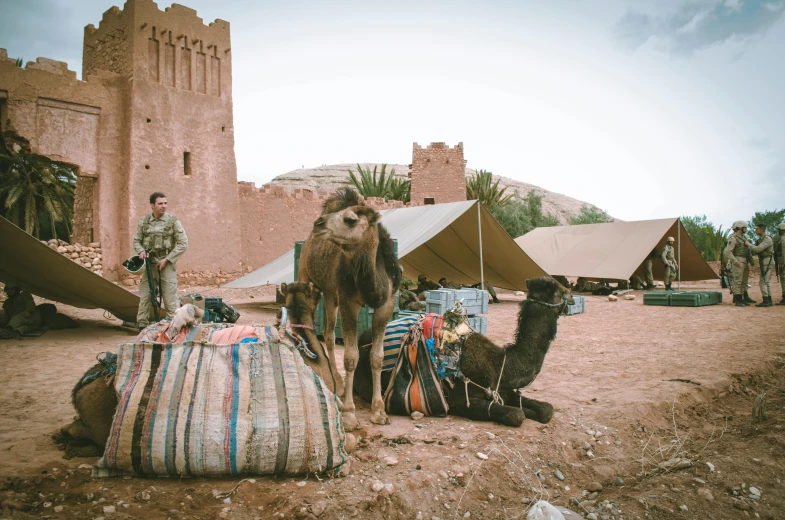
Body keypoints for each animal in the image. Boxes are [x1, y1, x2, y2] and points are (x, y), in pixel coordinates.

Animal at [298, 189, 402, 428]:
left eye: (351, 219)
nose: (318, 223)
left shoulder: (387, 303)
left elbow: (377, 356)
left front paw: (379, 410)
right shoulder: (348, 301)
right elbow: (350, 356)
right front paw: (348, 413)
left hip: (330, 293)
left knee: (327, 332)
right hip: (307, 276)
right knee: (324, 332)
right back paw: (337, 381)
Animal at [354, 276, 568, 426]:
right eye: (558, 291)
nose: (571, 296)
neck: (498, 365)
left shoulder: (504, 390)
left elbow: (547, 409)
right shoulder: (458, 399)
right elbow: (516, 414)